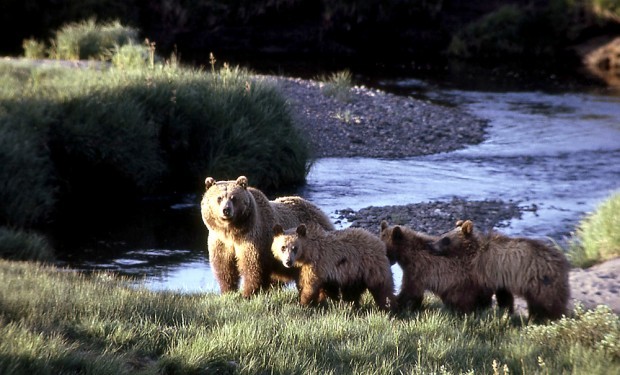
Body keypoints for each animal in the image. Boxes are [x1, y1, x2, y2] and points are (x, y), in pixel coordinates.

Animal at [201, 175, 332, 298]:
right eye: (219, 198)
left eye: (234, 198)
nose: (226, 210)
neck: (232, 231)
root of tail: (320, 211)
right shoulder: (220, 241)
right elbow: (224, 266)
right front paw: (227, 291)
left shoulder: (253, 238)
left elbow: (252, 265)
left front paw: (247, 293)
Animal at [432, 222, 572, 322]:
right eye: (443, 235)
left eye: (445, 239)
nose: (432, 245)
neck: (473, 251)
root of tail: (562, 262)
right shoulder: (500, 277)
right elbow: (504, 296)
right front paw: (505, 311)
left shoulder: (487, 269)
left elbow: (484, 292)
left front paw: (482, 307)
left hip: (541, 280)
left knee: (547, 302)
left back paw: (547, 318)